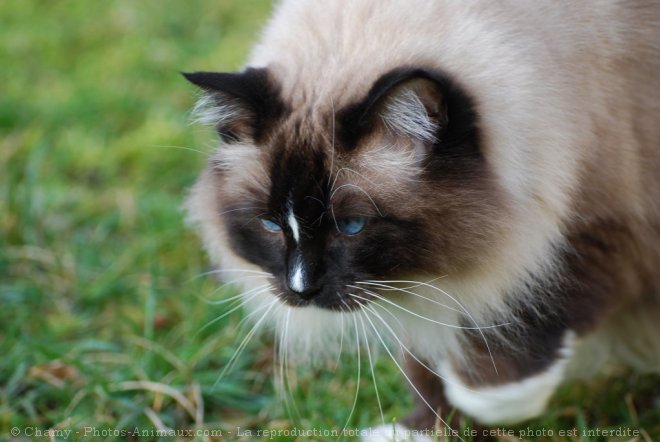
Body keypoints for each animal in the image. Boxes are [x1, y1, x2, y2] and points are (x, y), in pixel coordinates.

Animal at [182, 1, 660, 440]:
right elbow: (424, 365)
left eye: (351, 226)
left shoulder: (578, 231)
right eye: (271, 224)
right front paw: (425, 430)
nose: (302, 290)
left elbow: (520, 325)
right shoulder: (426, 287)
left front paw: (485, 400)